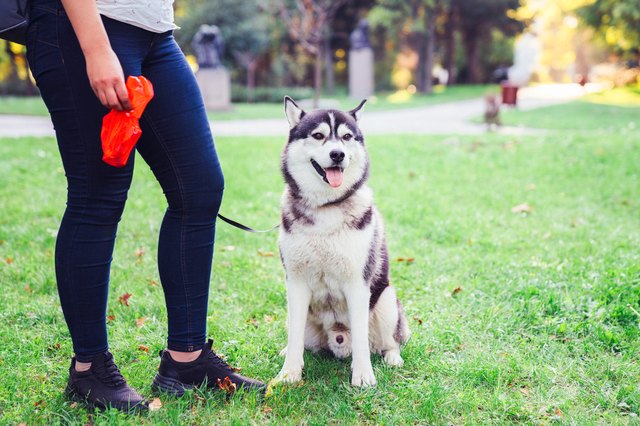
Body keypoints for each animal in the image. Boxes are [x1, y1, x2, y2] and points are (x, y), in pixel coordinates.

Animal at [276, 95, 410, 386]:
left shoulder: (357, 284)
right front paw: (289, 374)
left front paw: (363, 376)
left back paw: (393, 357)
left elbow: (360, 338)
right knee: (299, 337)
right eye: (318, 135)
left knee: (388, 342)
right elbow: (294, 337)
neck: (326, 207)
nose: (338, 154)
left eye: (347, 137)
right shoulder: (296, 282)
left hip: (386, 299)